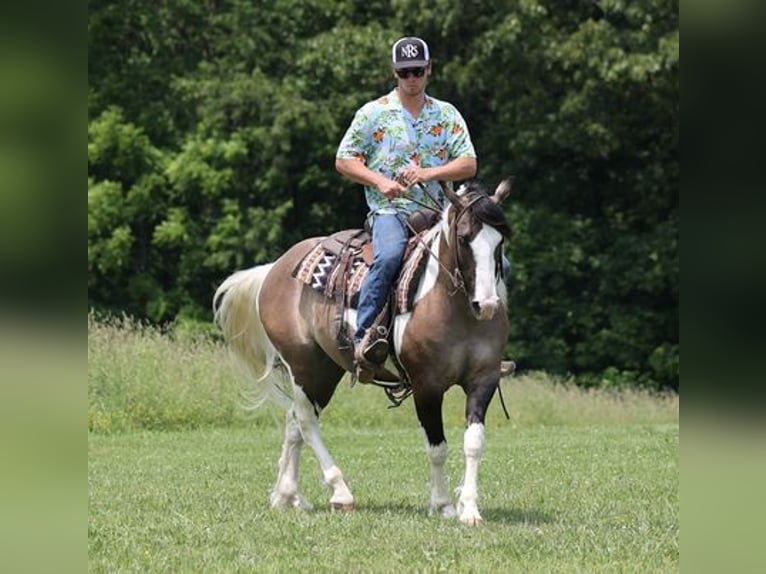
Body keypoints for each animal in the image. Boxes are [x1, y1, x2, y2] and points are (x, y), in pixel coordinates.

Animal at [216, 179, 512, 528]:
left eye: (500, 241)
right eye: (464, 239)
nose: (487, 305)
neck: (452, 307)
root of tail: (274, 269)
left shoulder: (484, 379)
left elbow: (474, 443)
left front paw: (469, 509)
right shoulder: (427, 385)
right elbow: (437, 447)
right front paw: (442, 505)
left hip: (325, 371)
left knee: (294, 420)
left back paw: (287, 495)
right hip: (305, 367)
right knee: (305, 421)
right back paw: (340, 492)